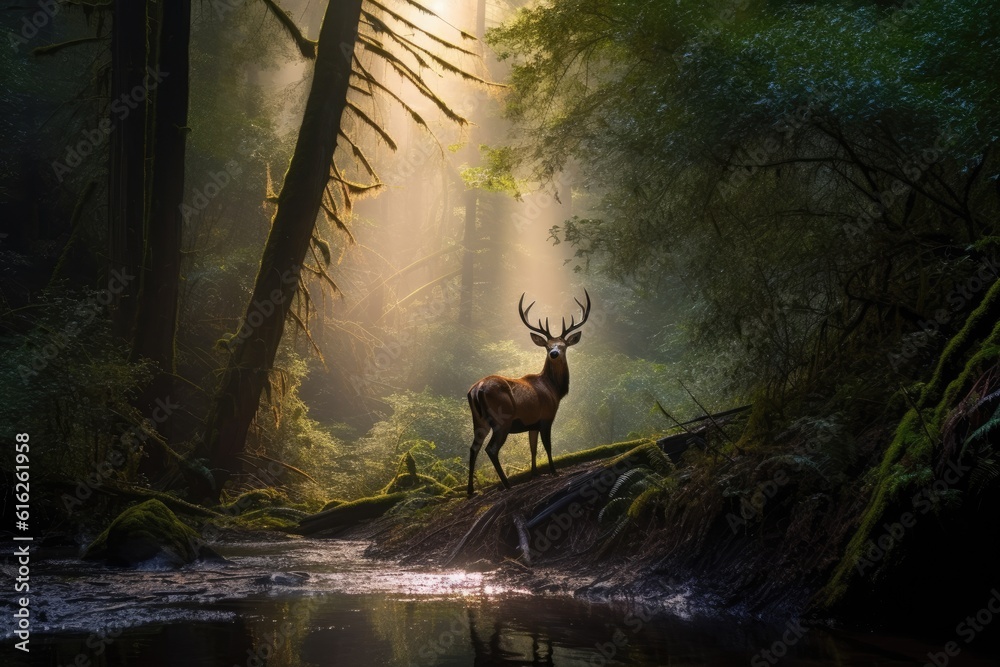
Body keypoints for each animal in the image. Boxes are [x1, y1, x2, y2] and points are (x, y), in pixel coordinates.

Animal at [466, 290, 591, 497]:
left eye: (563, 346)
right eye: (548, 346)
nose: (554, 353)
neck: (554, 389)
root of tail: (478, 389)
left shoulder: (532, 422)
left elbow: (533, 447)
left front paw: (534, 474)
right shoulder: (547, 416)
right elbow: (547, 445)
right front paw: (553, 471)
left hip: (478, 419)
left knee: (473, 447)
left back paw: (470, 491)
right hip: (502, 419)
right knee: (491, 449)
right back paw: (507, 484)